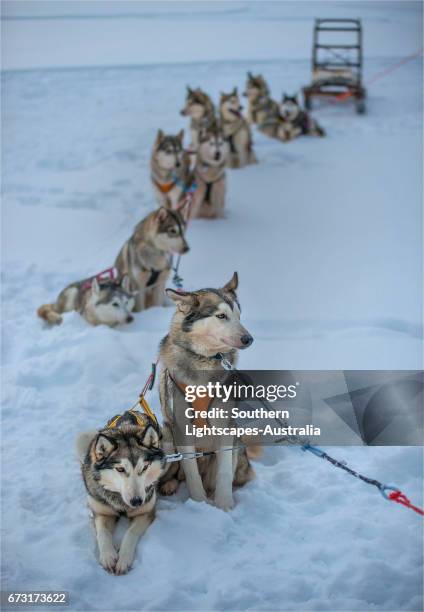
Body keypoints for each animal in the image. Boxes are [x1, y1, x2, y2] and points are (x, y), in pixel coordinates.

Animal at [78, 412, 166, 572]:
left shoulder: (145, 512)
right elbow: (103, 533)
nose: (137, 501)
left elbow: (131, 532)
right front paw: (108, 556)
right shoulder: (102, 513)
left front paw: (124, 559)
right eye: (120, 469)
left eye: (145, 467)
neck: (120, 501)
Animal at [157, 272, 253, 512]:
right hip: (167, 438)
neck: (205, 361)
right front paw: (199, 503)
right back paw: (169, 486)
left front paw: (224, 505)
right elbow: (191, 471)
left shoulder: (225, 426)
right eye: (221, 316)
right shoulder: (181, 428)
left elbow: (224, 472)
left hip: (236, 442)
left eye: (238, 316)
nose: (248, 339)